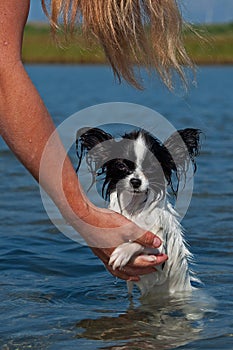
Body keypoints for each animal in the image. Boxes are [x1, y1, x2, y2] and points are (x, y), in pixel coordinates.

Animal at [75, 126, 201, 296]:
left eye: (152, 167)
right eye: (122, 166)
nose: (135, 181)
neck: (134, 208)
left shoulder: (160, 250)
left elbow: (143, 242)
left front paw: (122, 252)